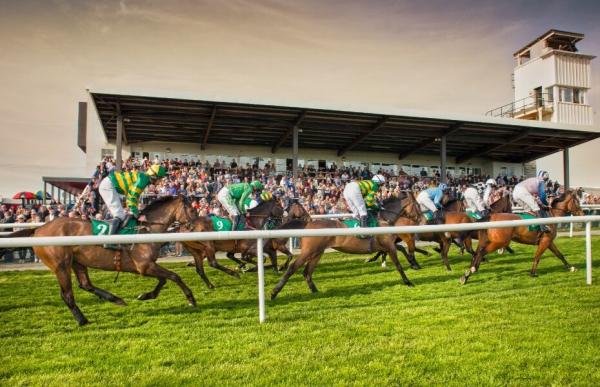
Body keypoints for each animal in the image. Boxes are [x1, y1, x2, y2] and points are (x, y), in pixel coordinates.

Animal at [2, 197, 199, 328]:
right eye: (192, 210)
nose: (194, 227)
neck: (145, 230)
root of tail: (38, 230)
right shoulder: (144, 266)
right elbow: (174, 276)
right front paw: (191, 298)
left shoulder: (147, 266)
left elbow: (164, 280)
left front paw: (145, 295)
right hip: (61, 265)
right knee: (67, 294)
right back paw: (82, 320)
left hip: (77, 262)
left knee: (85, 284)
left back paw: (116, 299)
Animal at [270, 194, 414, 300]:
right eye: (417, 206)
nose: (417, 219)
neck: (384, 221)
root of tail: (308, 225)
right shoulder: (389, 245)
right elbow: (398, 264)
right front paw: (408, 281)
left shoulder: (386, 246)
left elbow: (393, 252)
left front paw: (413, 263)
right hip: (309, 251)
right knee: (293, 268)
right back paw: (274, 292)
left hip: (317, 252)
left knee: (307, 271)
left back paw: (315, 291)